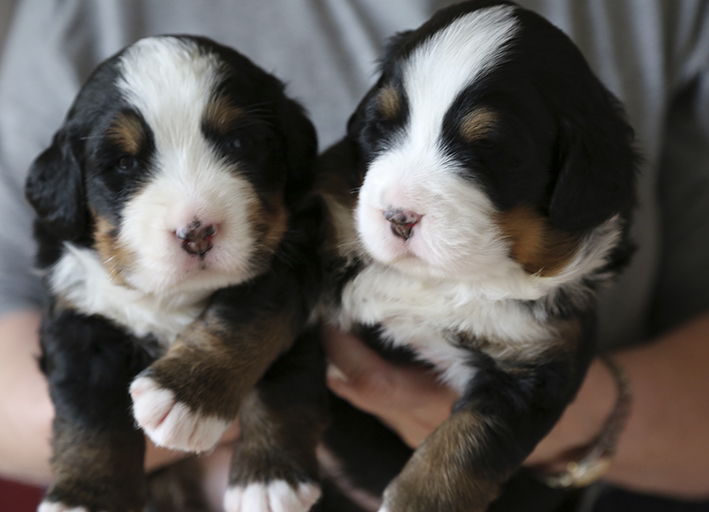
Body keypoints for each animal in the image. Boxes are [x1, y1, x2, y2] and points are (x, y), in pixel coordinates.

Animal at [24, 36, 328, 512]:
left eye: (238, 142)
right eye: (124, 165)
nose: (197, 233)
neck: (170, 298)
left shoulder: (292, 264)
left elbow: (252, 334)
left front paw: (266, 475)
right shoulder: (79, 314)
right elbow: (90, 417)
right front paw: (87, 496)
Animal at [316, 2, 636, 510]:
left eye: (487, 148)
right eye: (379, 126)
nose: (399, 217)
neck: (445, 280)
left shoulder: (538, 361)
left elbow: (464, 447)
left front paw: (419, 499)